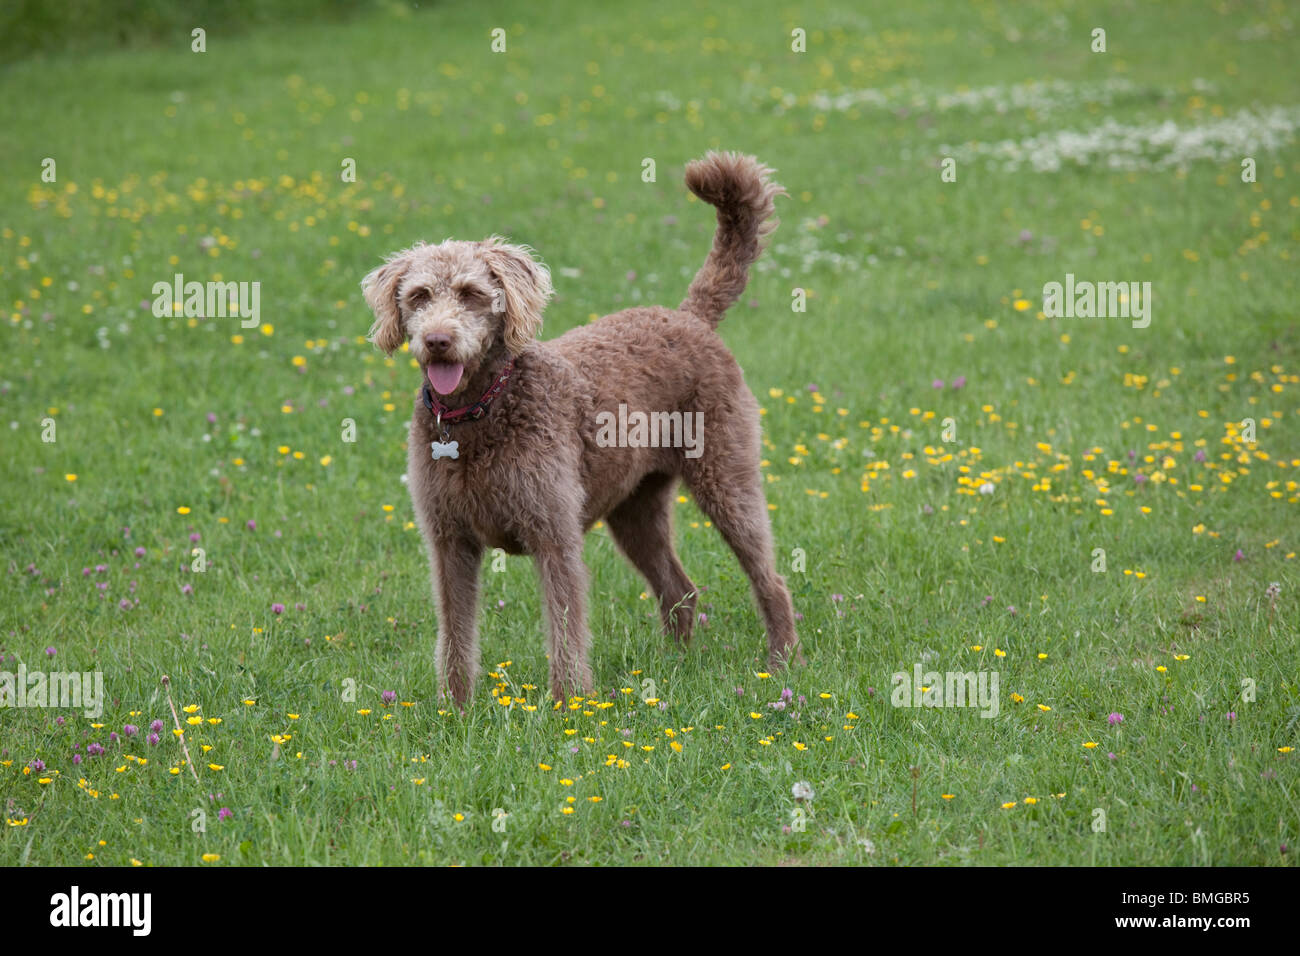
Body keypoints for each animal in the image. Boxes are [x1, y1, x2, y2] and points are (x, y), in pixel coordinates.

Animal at [361, 149, 795, 702]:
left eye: (472, 293)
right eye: (418, 295)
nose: (438, 340)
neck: (479, 414)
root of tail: (688, 317)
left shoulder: (553, 535)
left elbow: (565, 629)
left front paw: (571, 706)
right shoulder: (449, 543)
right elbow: (455, 634)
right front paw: (454, 708)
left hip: (726, 478)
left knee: (769, 579)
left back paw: (783, 664)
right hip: (635, 508)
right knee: (680, 590)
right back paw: (673, 666)